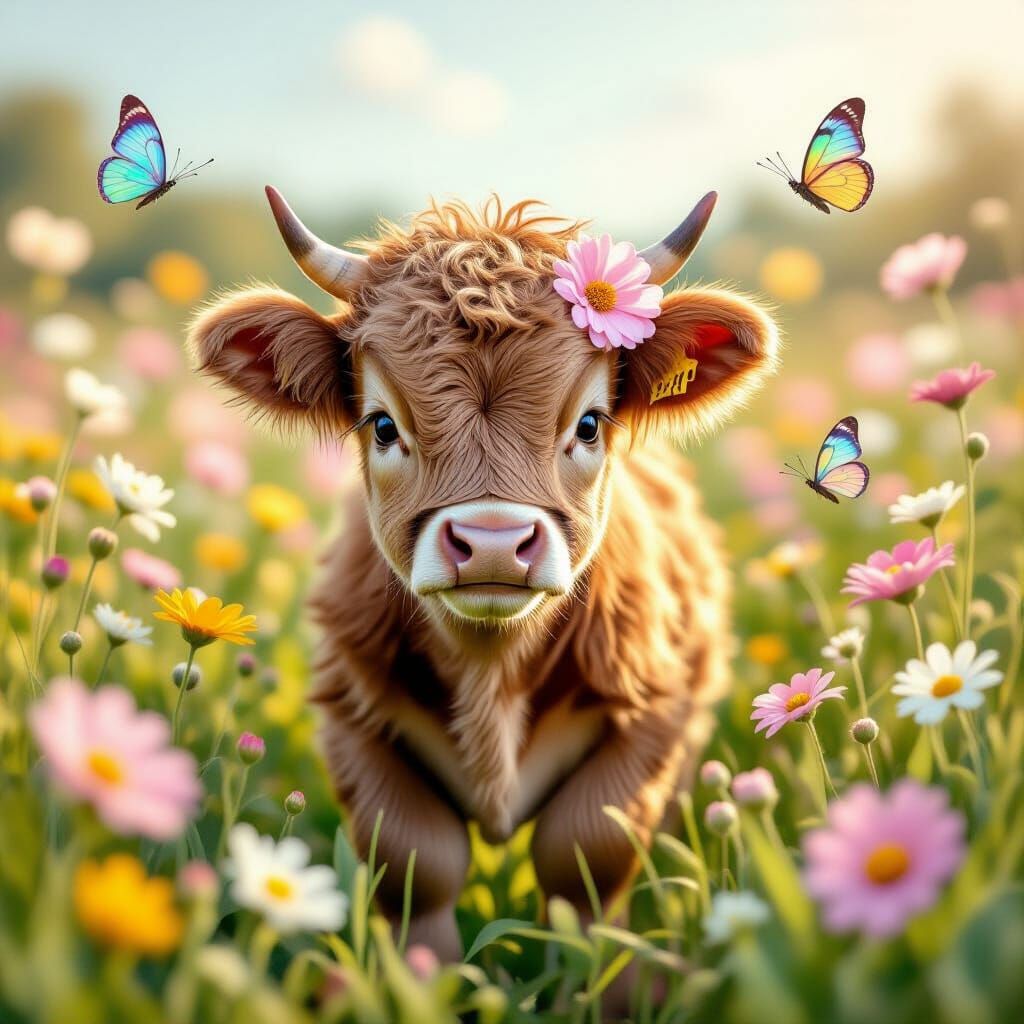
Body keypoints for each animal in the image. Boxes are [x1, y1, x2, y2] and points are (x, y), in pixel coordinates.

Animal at [189, 186, 779, 959]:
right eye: (383, 426)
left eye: (589, 424)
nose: (493, 544)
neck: (491, 670)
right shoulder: (354, 719)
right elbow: (418, 862)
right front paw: (422, 972)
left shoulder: (659, 710)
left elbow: (588, 851)